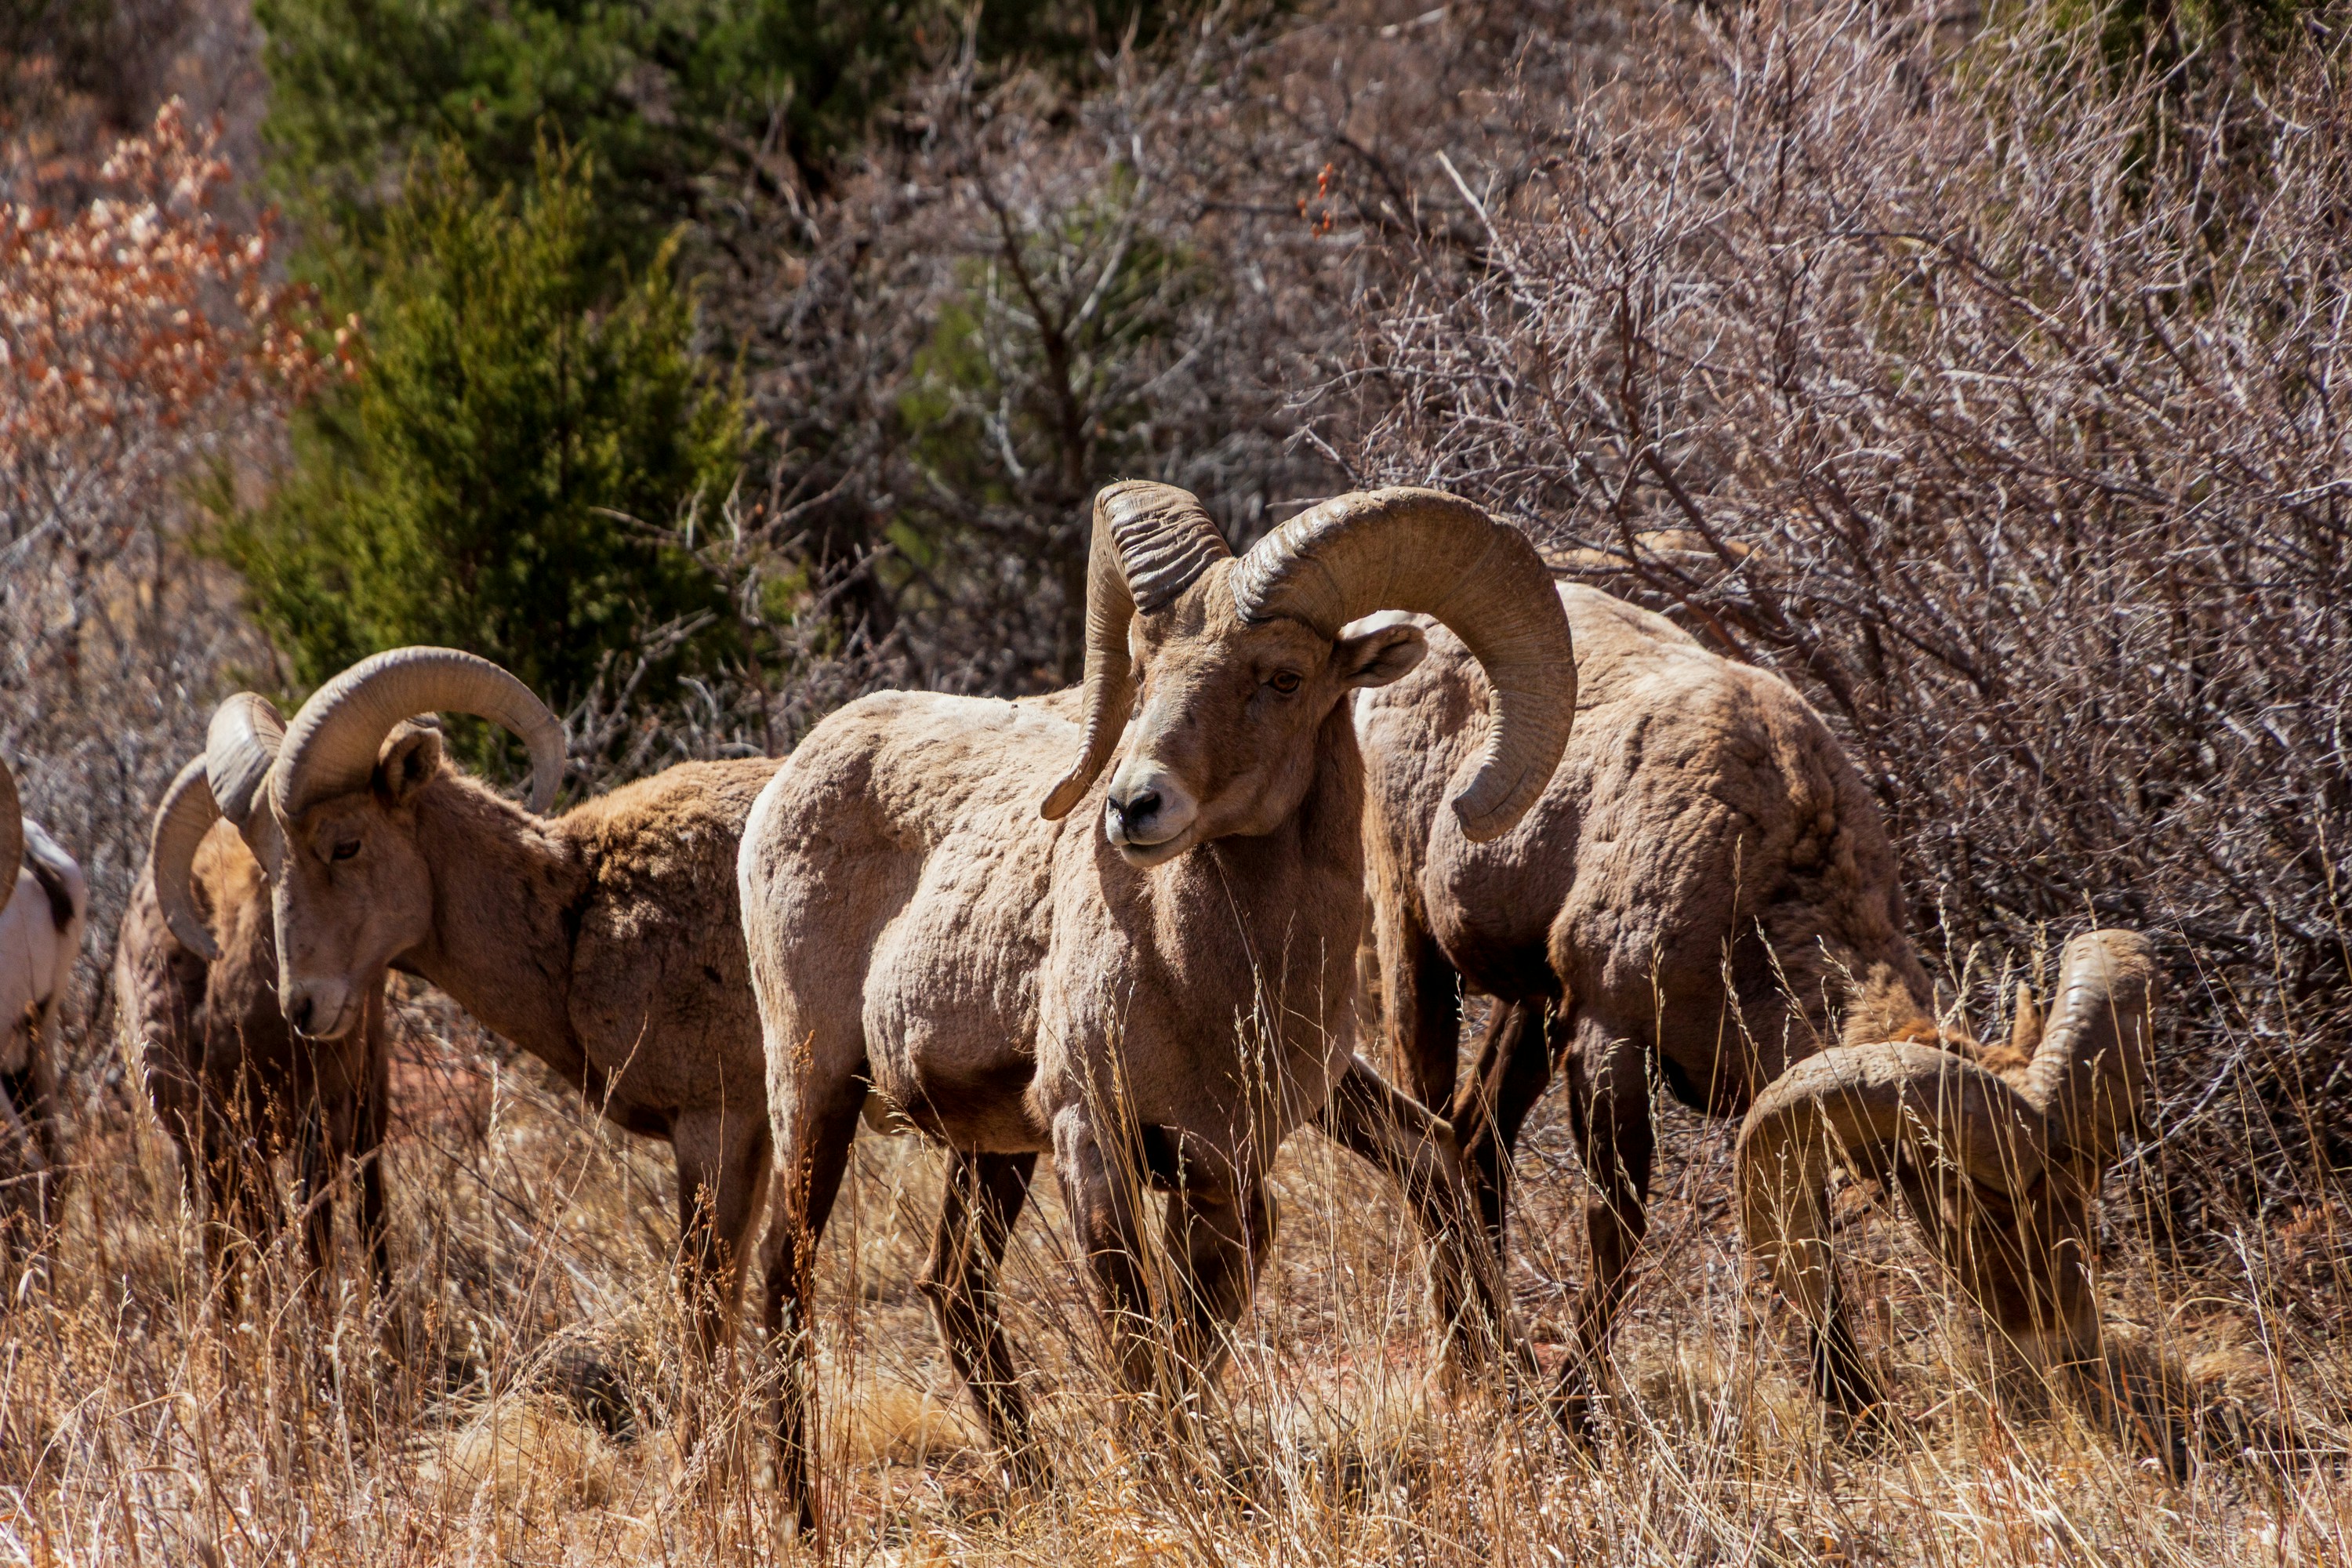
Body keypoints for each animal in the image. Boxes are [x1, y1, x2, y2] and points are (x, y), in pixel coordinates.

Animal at [187, 648, 781, 1368]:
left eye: (346, 844)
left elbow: (707, 1311)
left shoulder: (715, 1124)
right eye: (266, 861)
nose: (302, 1006)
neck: (580, 912)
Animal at [739, 481, 1579, 1530]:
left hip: (989, 1150)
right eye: (1145, 666)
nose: (1133, 806)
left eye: (1285, 677)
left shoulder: (1231, 1164)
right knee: (785, 1273)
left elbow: (1196, 1338)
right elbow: (1138, 1337)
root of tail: (790, 776)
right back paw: (801, 1517)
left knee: (955, 1285)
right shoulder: (1092, 1138)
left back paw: (1036, 1486)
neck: (1205, 977)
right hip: (816, 1089)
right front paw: (1159, 1494)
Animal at [1355, 586, 1940, 1415]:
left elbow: (1805, 1236)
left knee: (1475, 1140)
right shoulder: (1613, 1035)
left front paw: (1855, 1408)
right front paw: (1576, 1411)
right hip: (1415, 941)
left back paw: (1498, 1357)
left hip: (1534, 1005)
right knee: (1427, 1136)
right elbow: (1620, 1224)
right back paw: (1466, 1369)